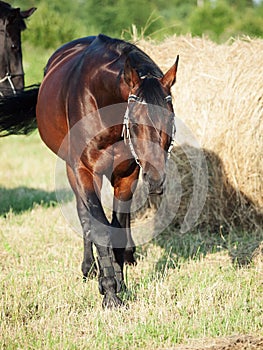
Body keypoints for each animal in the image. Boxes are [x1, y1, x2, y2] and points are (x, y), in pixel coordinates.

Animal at [0, 34, 179, 308]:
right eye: (135, 123)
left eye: (169, 120)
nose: (156, 178)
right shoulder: (85, 171)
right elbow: (99, 227)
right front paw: (110, 293)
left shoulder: (127, 175)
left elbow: (117, 226)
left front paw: (121, 282)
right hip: (71, 169)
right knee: (84, 215)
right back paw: (90, 268)